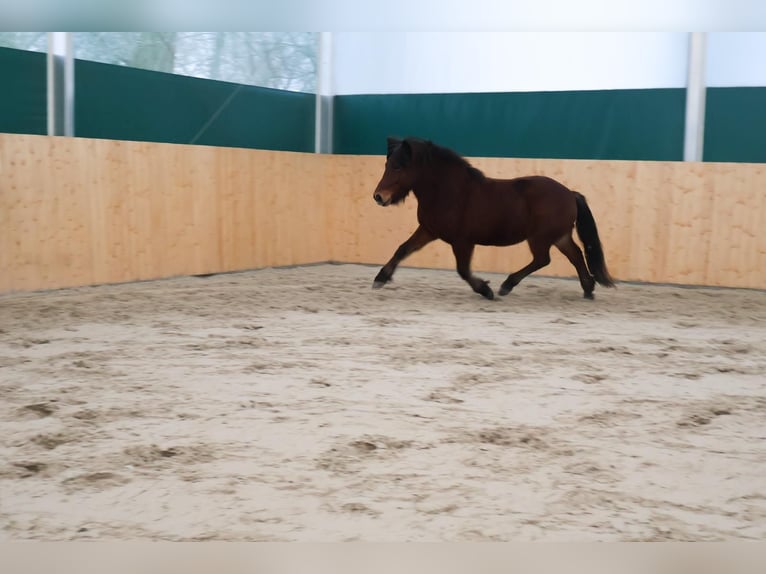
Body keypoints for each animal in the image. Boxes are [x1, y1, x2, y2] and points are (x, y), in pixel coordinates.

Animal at [372, 138, 616, 302]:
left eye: (398, 166)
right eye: (387, 165)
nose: (378, 197)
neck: (450, 191)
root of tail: (570, 194)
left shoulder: (462, 241)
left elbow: (463, 270)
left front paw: (485, 289)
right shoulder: (429, 230)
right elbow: (403, 249)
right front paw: (380, 278)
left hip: (540, 238)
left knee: (542, 259)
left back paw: (507, 285)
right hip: (559, 236)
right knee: (575, 255)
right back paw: (588, 288)